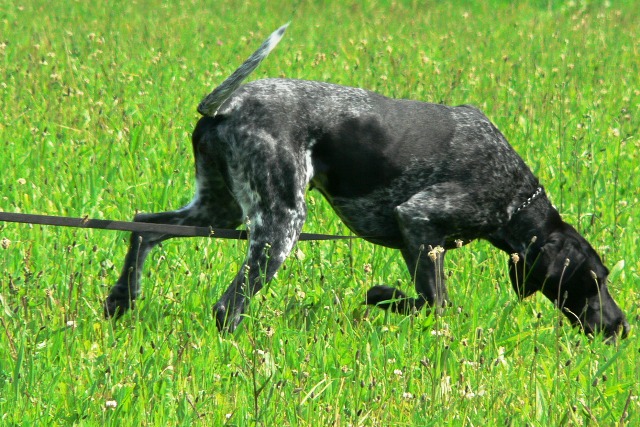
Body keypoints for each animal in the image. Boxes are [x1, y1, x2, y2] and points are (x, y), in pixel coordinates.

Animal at [105, 25, 632, 342]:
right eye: (595, 280)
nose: (622, 326)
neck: (517, 199)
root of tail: (226, 106)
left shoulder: (420, 242)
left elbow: (428, 299)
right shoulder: (418, 220)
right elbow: (433, 304)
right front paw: (384, 298)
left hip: (220, 210)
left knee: (143, 226)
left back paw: (120, 301)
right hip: (280, 225)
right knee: (226, 306)